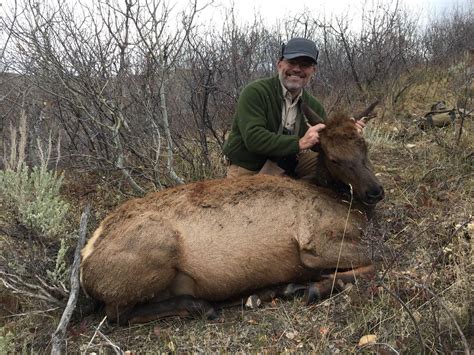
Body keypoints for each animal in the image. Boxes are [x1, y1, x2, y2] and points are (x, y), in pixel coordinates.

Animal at [80, 108, 386, 326]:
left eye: (364, 146)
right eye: (334, 158)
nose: (375, 192)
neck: (348, 206)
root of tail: (85, 260)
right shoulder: (314, 244)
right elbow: (374, 261)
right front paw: (310, 287)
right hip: (157, 249)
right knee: (115, 314)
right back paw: (202, 306)